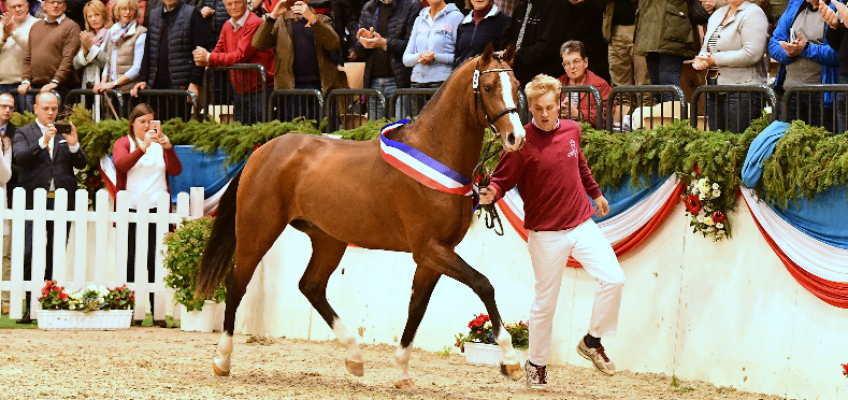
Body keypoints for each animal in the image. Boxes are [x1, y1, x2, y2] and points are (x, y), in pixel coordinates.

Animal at [198, 43, 528, 388]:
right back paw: (222, 360)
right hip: (258, 231)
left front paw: (402, 372)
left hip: (328, 239)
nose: (515, 138)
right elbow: (483, 284)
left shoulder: (434, 255)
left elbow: (417, 308)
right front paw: (509, 360)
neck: (435, 152)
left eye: (517, 85)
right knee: (237, 284)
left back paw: (354, 357)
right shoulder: (429, 249)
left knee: (311, 286)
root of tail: (261, 151)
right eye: (488, 87)